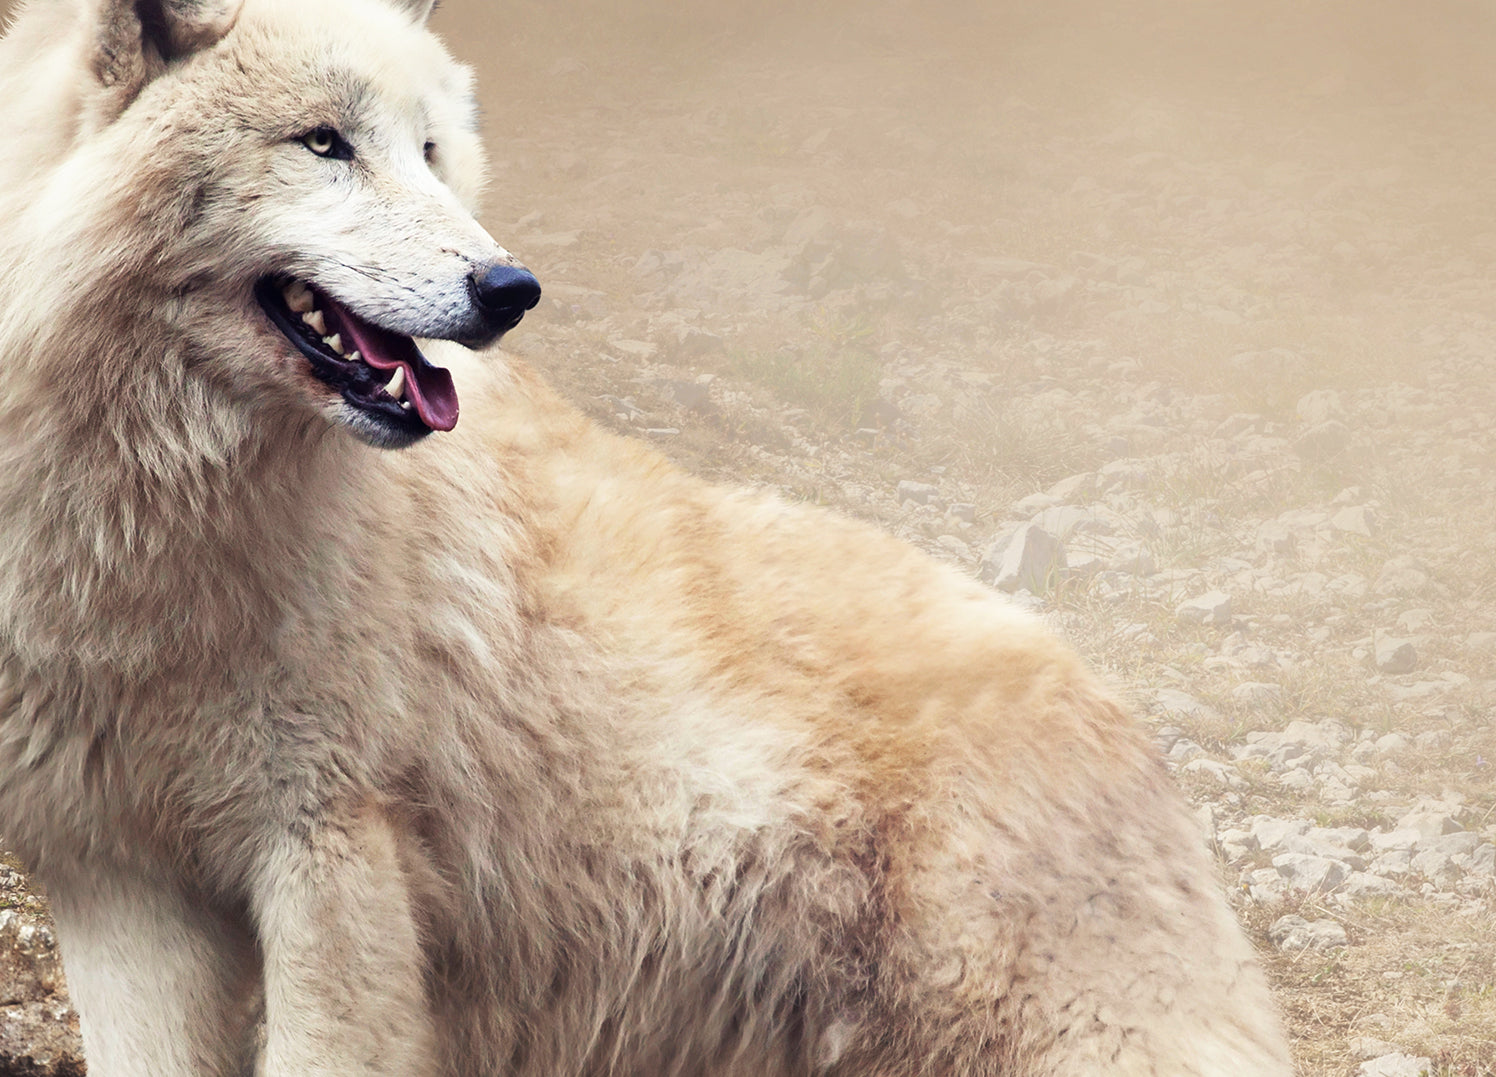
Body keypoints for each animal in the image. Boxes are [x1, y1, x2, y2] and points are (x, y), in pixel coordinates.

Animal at [0, 0, 1294, 1072]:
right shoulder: (122, 883)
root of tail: (1128, 728)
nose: (509, 288)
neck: (153, 520)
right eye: (322, 143)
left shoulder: (330, 858)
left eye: (431, 151)